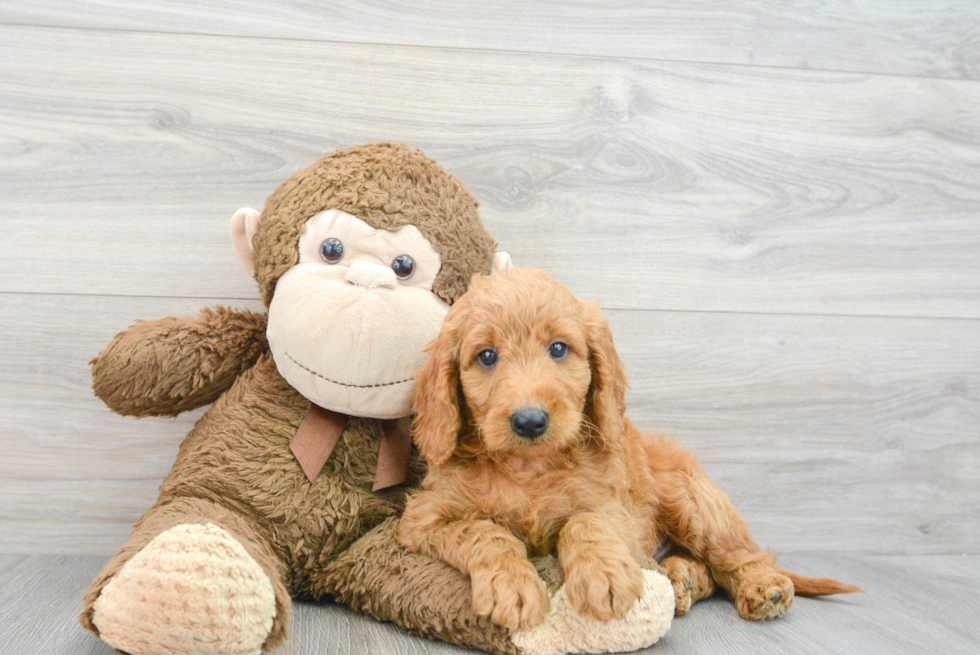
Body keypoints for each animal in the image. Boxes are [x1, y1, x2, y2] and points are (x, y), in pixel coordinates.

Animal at [396, 266, 856, 632]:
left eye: (558, 348)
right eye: (487, 356)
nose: (530, 421)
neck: (531, 468)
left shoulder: (616, 506)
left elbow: (585, 522)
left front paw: (603, 574)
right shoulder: (426, 517)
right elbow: (484, 531)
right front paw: (512, 584)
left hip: (691, 500)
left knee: (739, 555)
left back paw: (763, 586)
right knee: (707, 569)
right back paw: (684, 579)